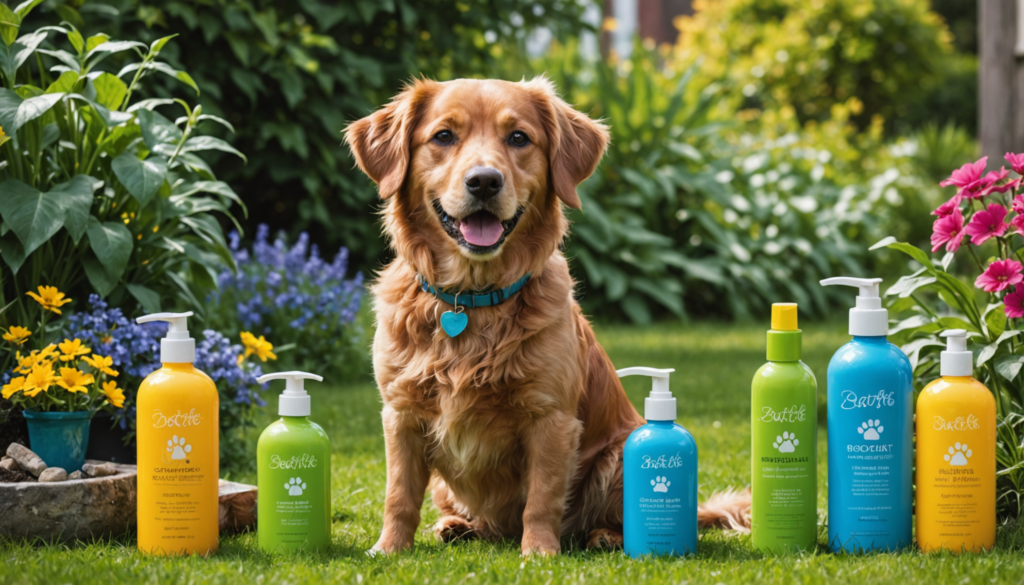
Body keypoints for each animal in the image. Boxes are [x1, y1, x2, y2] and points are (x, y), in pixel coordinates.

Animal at [344, 78, 753, 557]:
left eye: (519, 138)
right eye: (443, 136)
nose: (484, 181)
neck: (472, 300)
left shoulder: (551, 419)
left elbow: (541, 498)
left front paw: (539, 552)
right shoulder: (401, 413)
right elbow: (399, 495)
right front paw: (389, 549)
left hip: (615, 455)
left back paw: (604, 536)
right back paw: (457, 526)